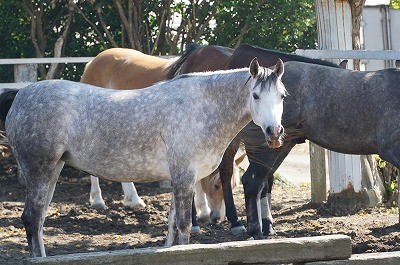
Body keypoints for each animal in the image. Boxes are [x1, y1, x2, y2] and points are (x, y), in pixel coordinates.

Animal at [1, 57, 286, 256]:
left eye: (282, 96)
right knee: (32, 218)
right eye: (255, 95)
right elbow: (184, 226)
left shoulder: (180, 179)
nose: (274, 132)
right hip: (40, 170)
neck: (202, 108)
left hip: (53, 170)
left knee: (38, 221)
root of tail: (20, 95)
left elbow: (171, 226)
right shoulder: (184, 177)